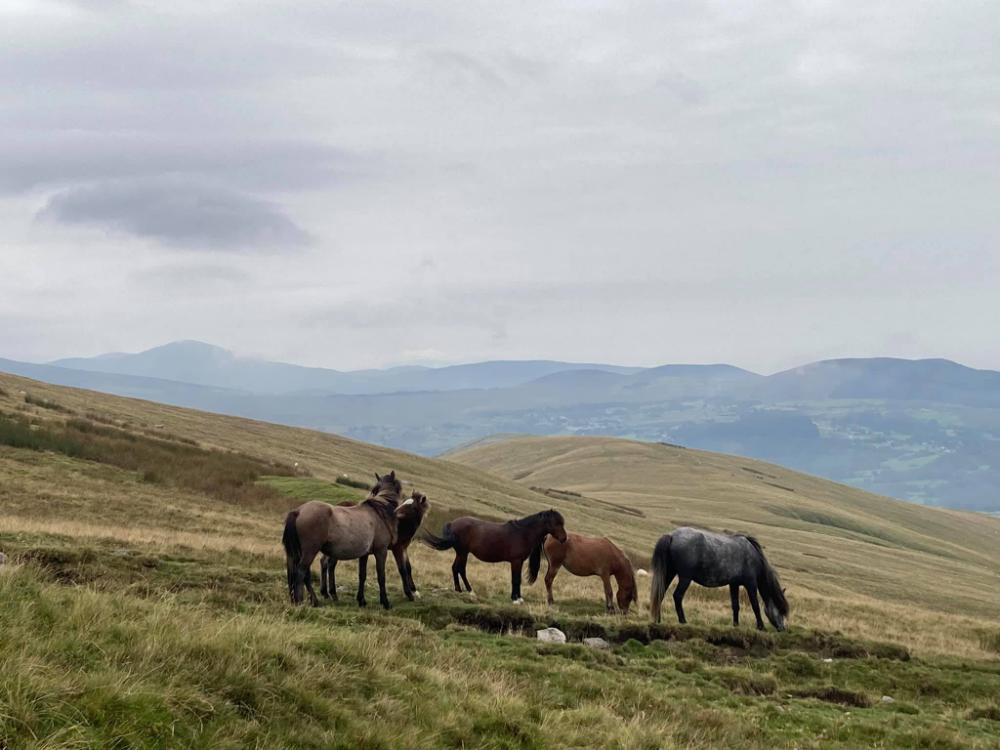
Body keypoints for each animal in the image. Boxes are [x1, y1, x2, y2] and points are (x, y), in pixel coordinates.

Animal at [282, 471, 405, 609]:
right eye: (399, 488)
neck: (379, 512)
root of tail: (298, 511)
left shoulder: (364, 555)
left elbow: (362, 575)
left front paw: (361, 600)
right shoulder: (381, 551)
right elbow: (381, 577)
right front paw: (385, 602)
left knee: (304, 574)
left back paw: (311, 600)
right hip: (310, 551)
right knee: (301, 572)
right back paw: (301, 601)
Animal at [423, 509, 567, 603]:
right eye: (557, 523)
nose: (564, 539)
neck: (523, 533)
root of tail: (453, 523)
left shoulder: (518, 562)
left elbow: (517, 579)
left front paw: (517, 597)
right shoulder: (516, 561)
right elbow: (515, 579)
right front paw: (515, 598)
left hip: (461, 553)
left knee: (455, 568)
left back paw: (460, 590)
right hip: (463, 553)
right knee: (460, 569)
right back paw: (469, 590)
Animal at [649, 527, 789, 631]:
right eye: (781, 610)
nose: (782, 628)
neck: (753, 556)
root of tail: (671, 535)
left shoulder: (734, 584)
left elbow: (735, 605)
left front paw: (736, 625)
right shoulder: (751, 584)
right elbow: (755, 605)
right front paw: (761, 626)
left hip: (669, 573)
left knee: (661, 593)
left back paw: (658, 619)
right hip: (685, 578)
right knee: (677, 596)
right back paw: (683, 621)